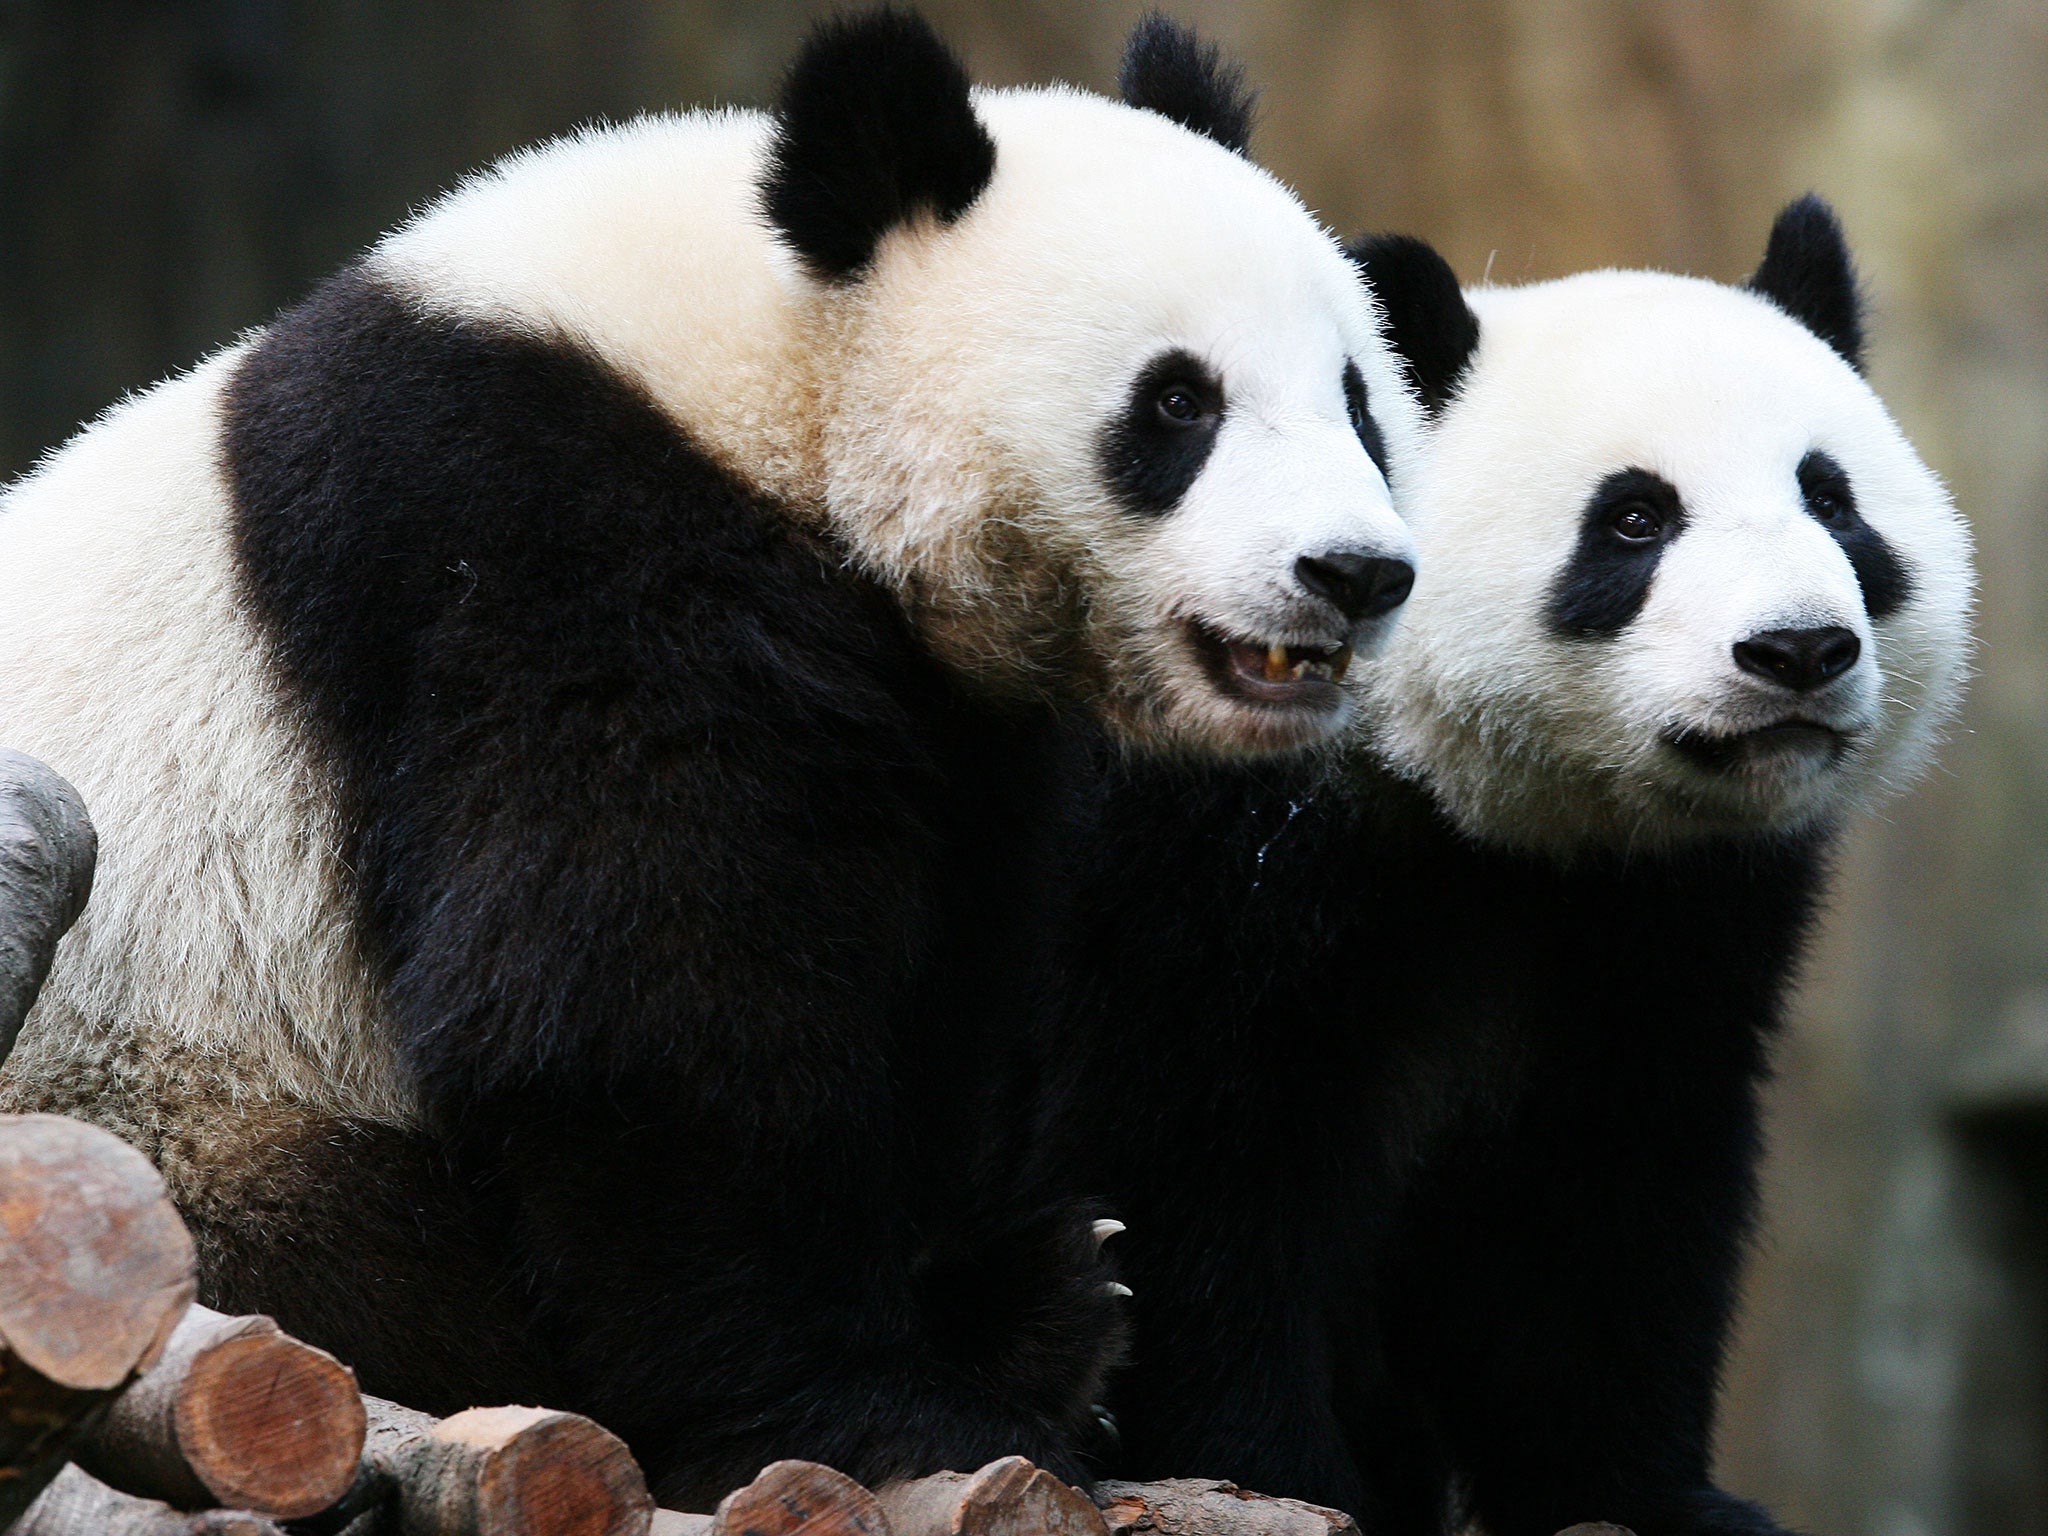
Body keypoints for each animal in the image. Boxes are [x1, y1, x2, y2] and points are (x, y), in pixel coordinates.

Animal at [0, 6, 1441, 1507]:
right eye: (1175, 405)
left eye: (1358, 397)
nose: (1352, 573)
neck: (763, 375)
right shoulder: (541, 548)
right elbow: (635, 1007)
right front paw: (878, 1406)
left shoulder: (949, 724)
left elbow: (935, 988)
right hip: (151, 1105)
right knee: (354, 1266)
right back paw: (1045, 1313)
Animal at [1032, 198, 1974, 1531]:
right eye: (1633, 519)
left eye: (1831, 502)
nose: (1796, 650)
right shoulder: (1191, 851)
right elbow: (1188, 1157)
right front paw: (1276, 1474)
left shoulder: (1654, 917)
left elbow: (1605, 1194)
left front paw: (1645, 1494)